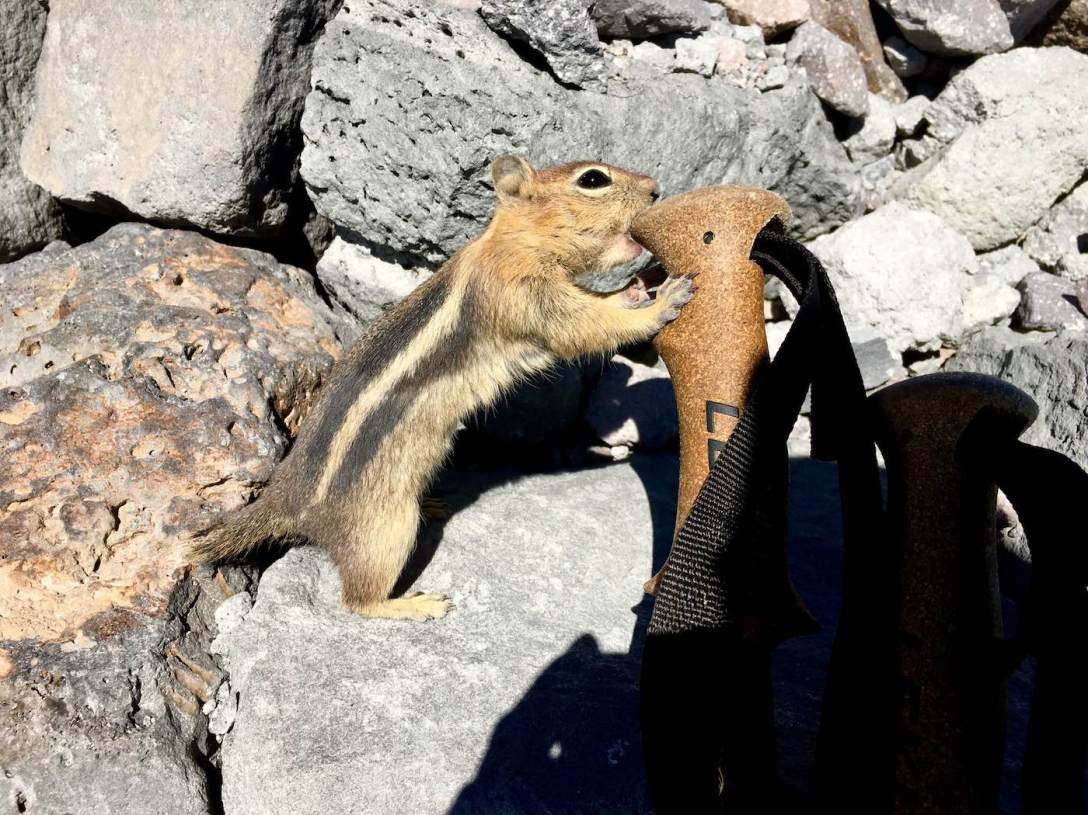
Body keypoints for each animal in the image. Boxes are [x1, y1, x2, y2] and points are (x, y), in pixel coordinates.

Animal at [190, 155, 695, 621]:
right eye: (593, 179)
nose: (655, 188)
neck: (514, 242)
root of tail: (286, 501)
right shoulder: (527, 297)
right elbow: (587, 329)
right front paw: (662, 301)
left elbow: (597, 307)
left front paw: (636, 291)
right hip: (385, 531)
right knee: (356, 602)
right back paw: (412, 605)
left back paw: (432, 504)